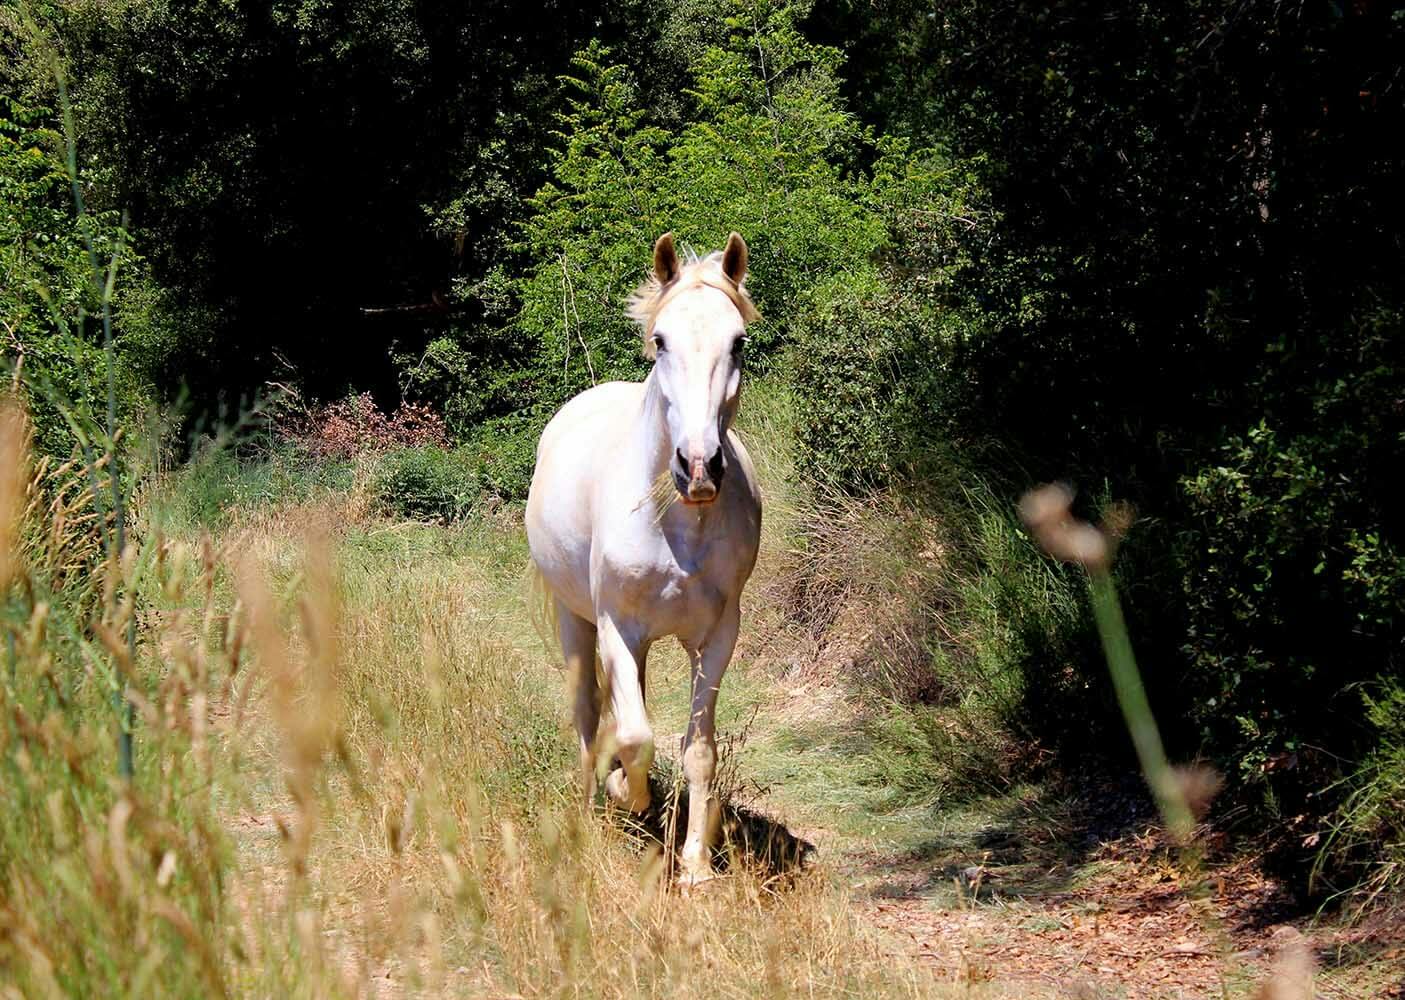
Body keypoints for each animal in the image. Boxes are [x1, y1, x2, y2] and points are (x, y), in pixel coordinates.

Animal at [525, 231, 764, 882]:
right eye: (661, 340)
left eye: (738, 342)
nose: (699, 467)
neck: (678, 525)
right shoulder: (617, 628)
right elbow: (632, 736)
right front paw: (622, 795)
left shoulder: (717, 636)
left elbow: (698, 748)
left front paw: (696, 864)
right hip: (576, 620)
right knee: (589, 713)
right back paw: (592, 802)